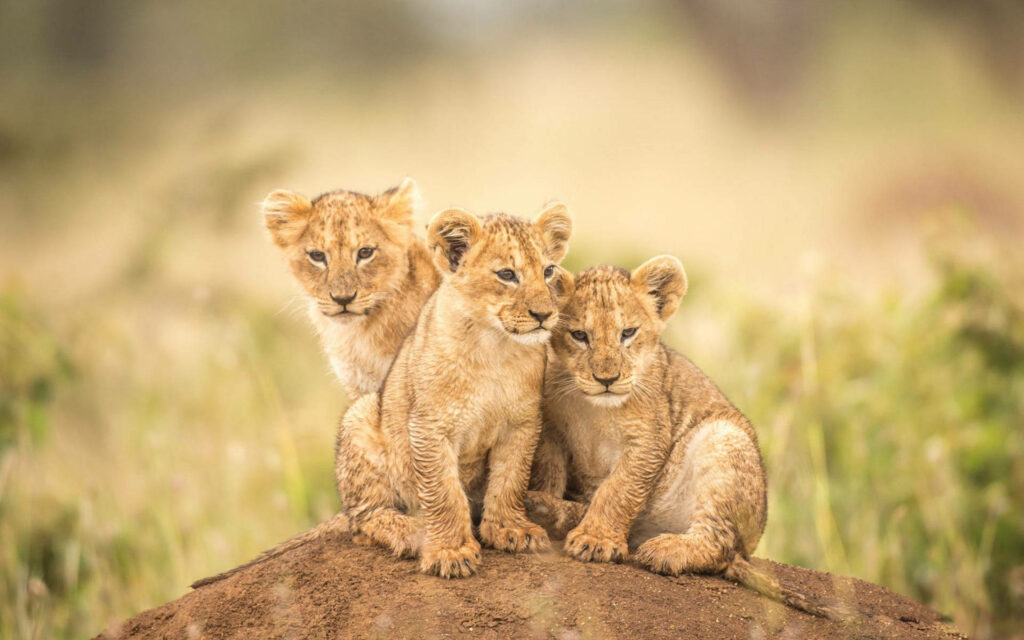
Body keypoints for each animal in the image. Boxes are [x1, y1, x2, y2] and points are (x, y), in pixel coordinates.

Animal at [526, 258, 855, 620]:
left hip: (724, 438)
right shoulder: (552, 431)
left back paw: (666, 549)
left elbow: (619, 489)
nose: (607, 379)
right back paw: (543, 509)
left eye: (628, 333)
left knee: (718, 547)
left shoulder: (649, 438)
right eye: (580, 335)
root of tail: (746, 553)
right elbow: (551, 474)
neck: (593, 408)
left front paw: (596, 540)